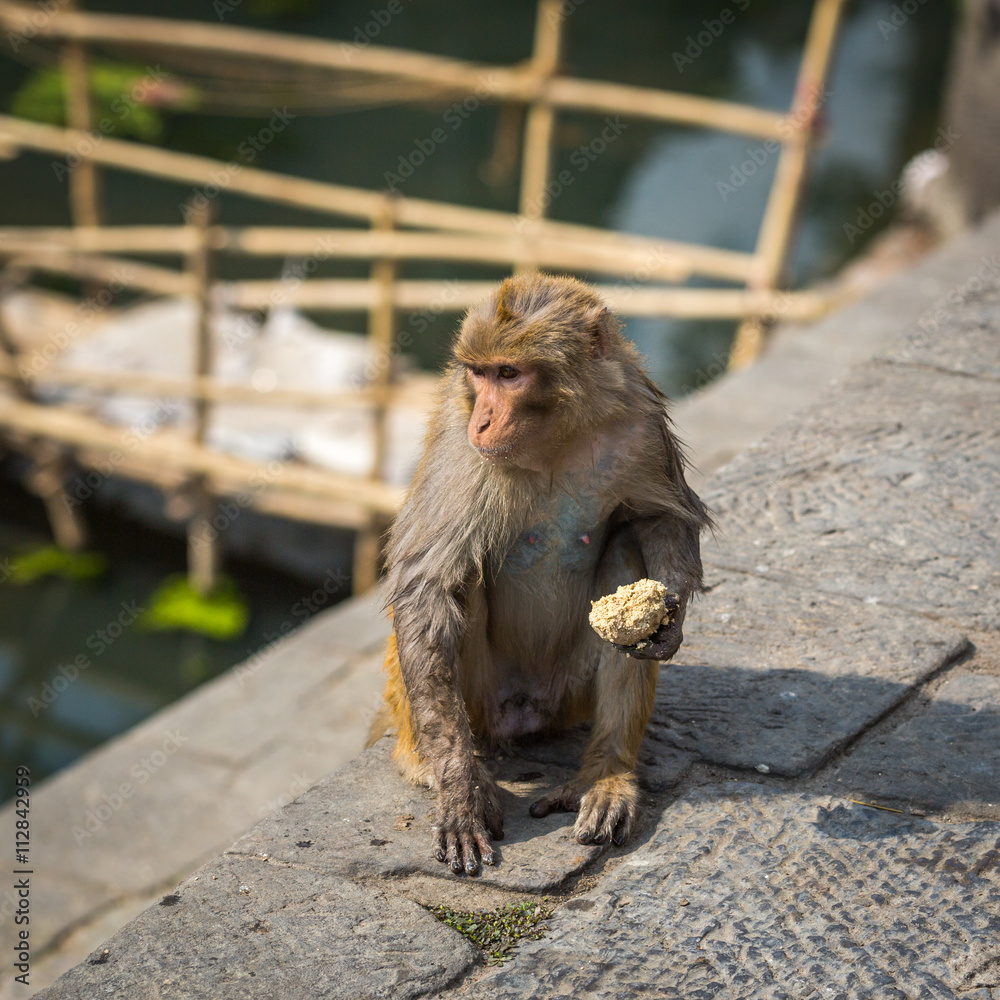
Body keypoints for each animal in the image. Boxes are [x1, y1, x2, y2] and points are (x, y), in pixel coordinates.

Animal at [367, 273, 709, 876]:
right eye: (479, 374)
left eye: (510, 373)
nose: (483, 418)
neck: (554, 435)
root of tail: (523, 716)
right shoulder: (460, 444)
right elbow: (426, 586)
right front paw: (461, 792)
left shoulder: (640, 420)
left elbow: (658, 517)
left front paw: (668, 621)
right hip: (478, 702)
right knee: (461, 582)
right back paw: (437, 765)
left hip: (569, 696)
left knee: (623, 548)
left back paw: (606, 775)